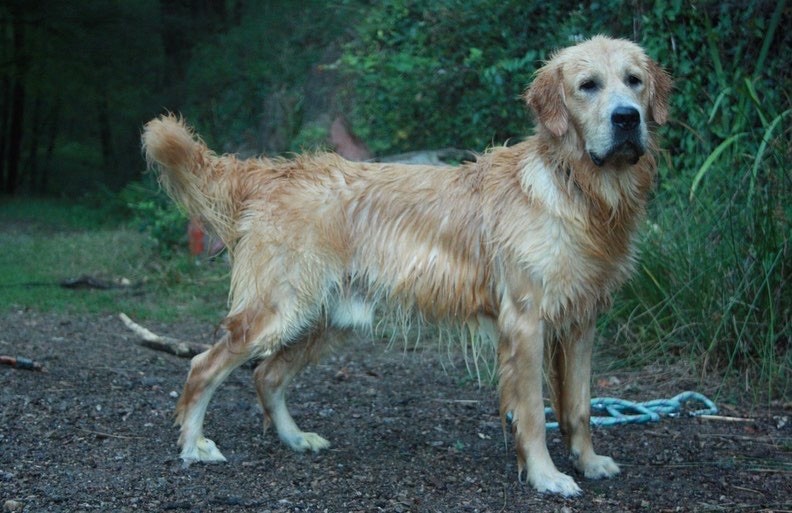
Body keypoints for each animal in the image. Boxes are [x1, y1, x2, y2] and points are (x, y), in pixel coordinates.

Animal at [141, 37, 668, 496]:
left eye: (634, 81)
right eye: (588, 85)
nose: (627, 119)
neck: (576, 188)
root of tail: (273, 172)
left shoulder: (581, 322)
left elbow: (578, 406)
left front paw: (589, 462)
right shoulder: (525, 322)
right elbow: (535, 415)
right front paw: (546, 476)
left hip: (327, 318)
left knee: (266, 375)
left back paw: (295, 438)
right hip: (280, 309)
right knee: (204, 365)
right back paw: (193, 444)